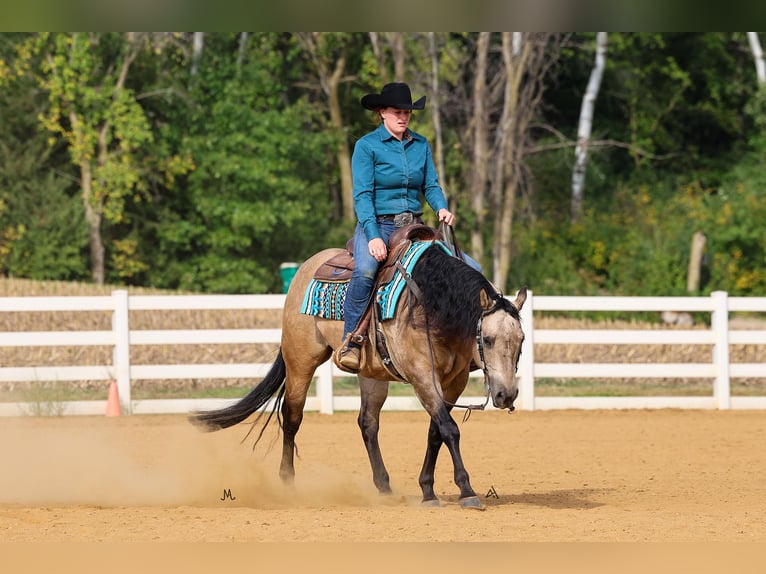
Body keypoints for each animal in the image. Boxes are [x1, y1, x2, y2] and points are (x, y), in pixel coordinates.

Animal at [190, 235, 526, 509]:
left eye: (522, 339)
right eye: (487, 338)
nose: (506, 394)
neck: (432, 306)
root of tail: (305, 268)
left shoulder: (454, 381)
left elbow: (436, 432)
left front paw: (428, 490)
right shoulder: (422, 375)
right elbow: (449, 429)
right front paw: (466, 490)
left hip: (372, 374)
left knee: (367, 423)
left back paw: (384, 487)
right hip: (301, 360)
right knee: (292, 417)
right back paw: (287, 483)